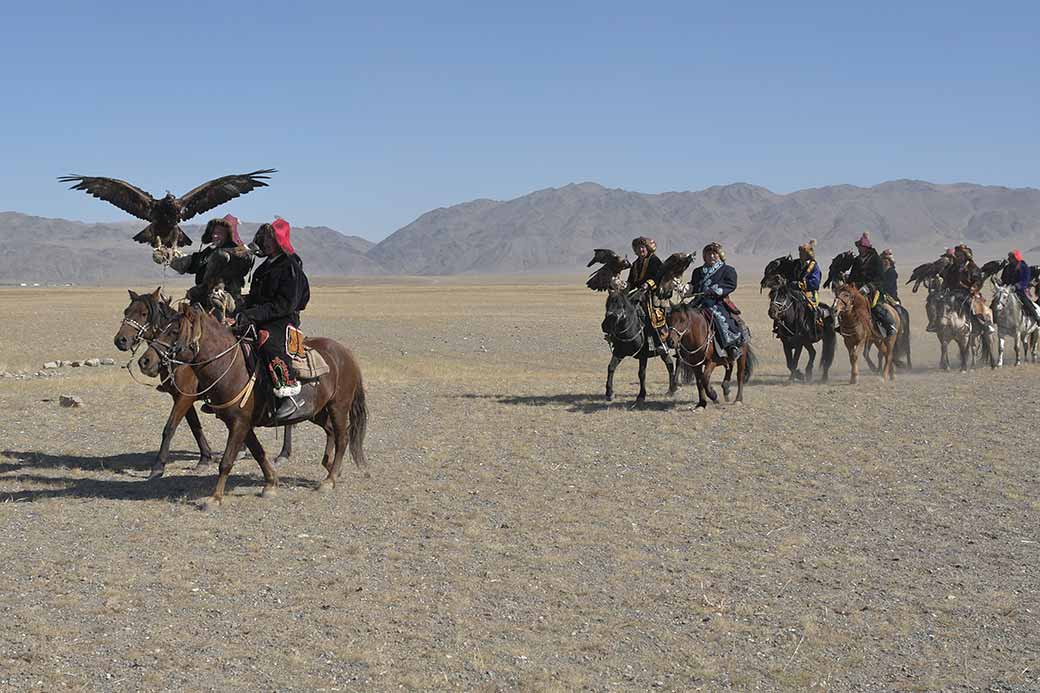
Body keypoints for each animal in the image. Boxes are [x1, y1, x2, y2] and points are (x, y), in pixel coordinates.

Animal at [113, 289, 293, 478]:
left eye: (144, 313)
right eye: (126, 311)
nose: (120, 340)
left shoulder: (185, 396)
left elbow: (170, 427)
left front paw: (158, 467)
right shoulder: (180, 396)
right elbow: (195, 426)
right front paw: (205, 458)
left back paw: (284, 453)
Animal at [136, 301, 368, 501]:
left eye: (174, 331)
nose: (145, 361)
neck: (230, 366)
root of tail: (345, 353)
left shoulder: (237, 421)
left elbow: (226, 461)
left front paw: (214, 498)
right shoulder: (240, 422)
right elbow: (258, 452)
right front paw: (271, 484)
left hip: (338, 406)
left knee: (342, 437)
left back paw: (329, 479)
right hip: (316, 411)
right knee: (330, 430)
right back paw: (330, 466)